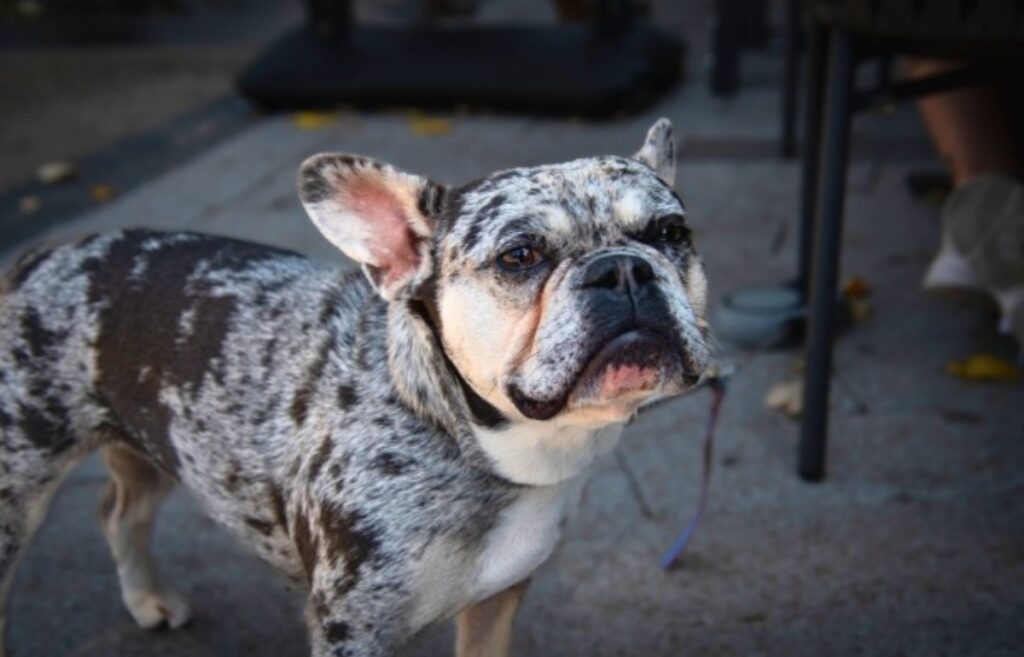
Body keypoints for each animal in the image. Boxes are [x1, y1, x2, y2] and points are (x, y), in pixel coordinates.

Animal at [0, 118, 704, 654]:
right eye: (520, 256)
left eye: (672, 234)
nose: (622, 269)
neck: (477, 441)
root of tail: (45, 256)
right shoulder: (353, 629)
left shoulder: (497, 605)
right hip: (19, 483)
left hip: (148, 441)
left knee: (121, 512)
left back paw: (147, 599)